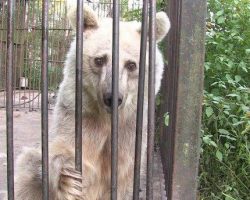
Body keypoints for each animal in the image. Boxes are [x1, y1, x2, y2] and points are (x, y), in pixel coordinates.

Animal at [13, 3, 170, 200]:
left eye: (131, 64)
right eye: (99, 60)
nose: (112, 98)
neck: (107, 118)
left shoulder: (130, 129)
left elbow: (123, 175)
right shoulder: (79, 115)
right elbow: (60, 152)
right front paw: (67, 180)